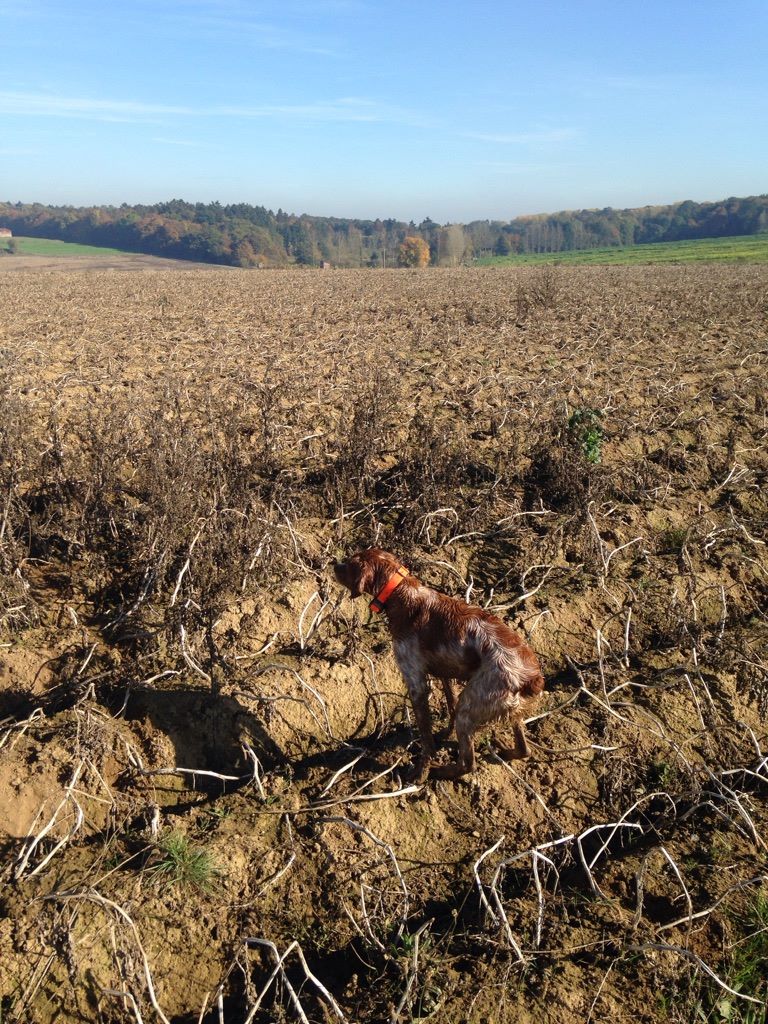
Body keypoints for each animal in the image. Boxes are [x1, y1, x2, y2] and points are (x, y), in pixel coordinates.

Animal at [333, 548, 544, 778]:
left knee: (468, 763)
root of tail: (532, 678)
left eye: (350, 564)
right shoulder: (445, 673)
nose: (334, 565)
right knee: (524, 749)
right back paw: (504, 750)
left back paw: (440, 771)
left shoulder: (416, 683)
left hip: (469, 708)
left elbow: (426, 736)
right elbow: (450, 703)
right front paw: (446, 734)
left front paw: (421, 772)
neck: (402, 593)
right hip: (506, 711)